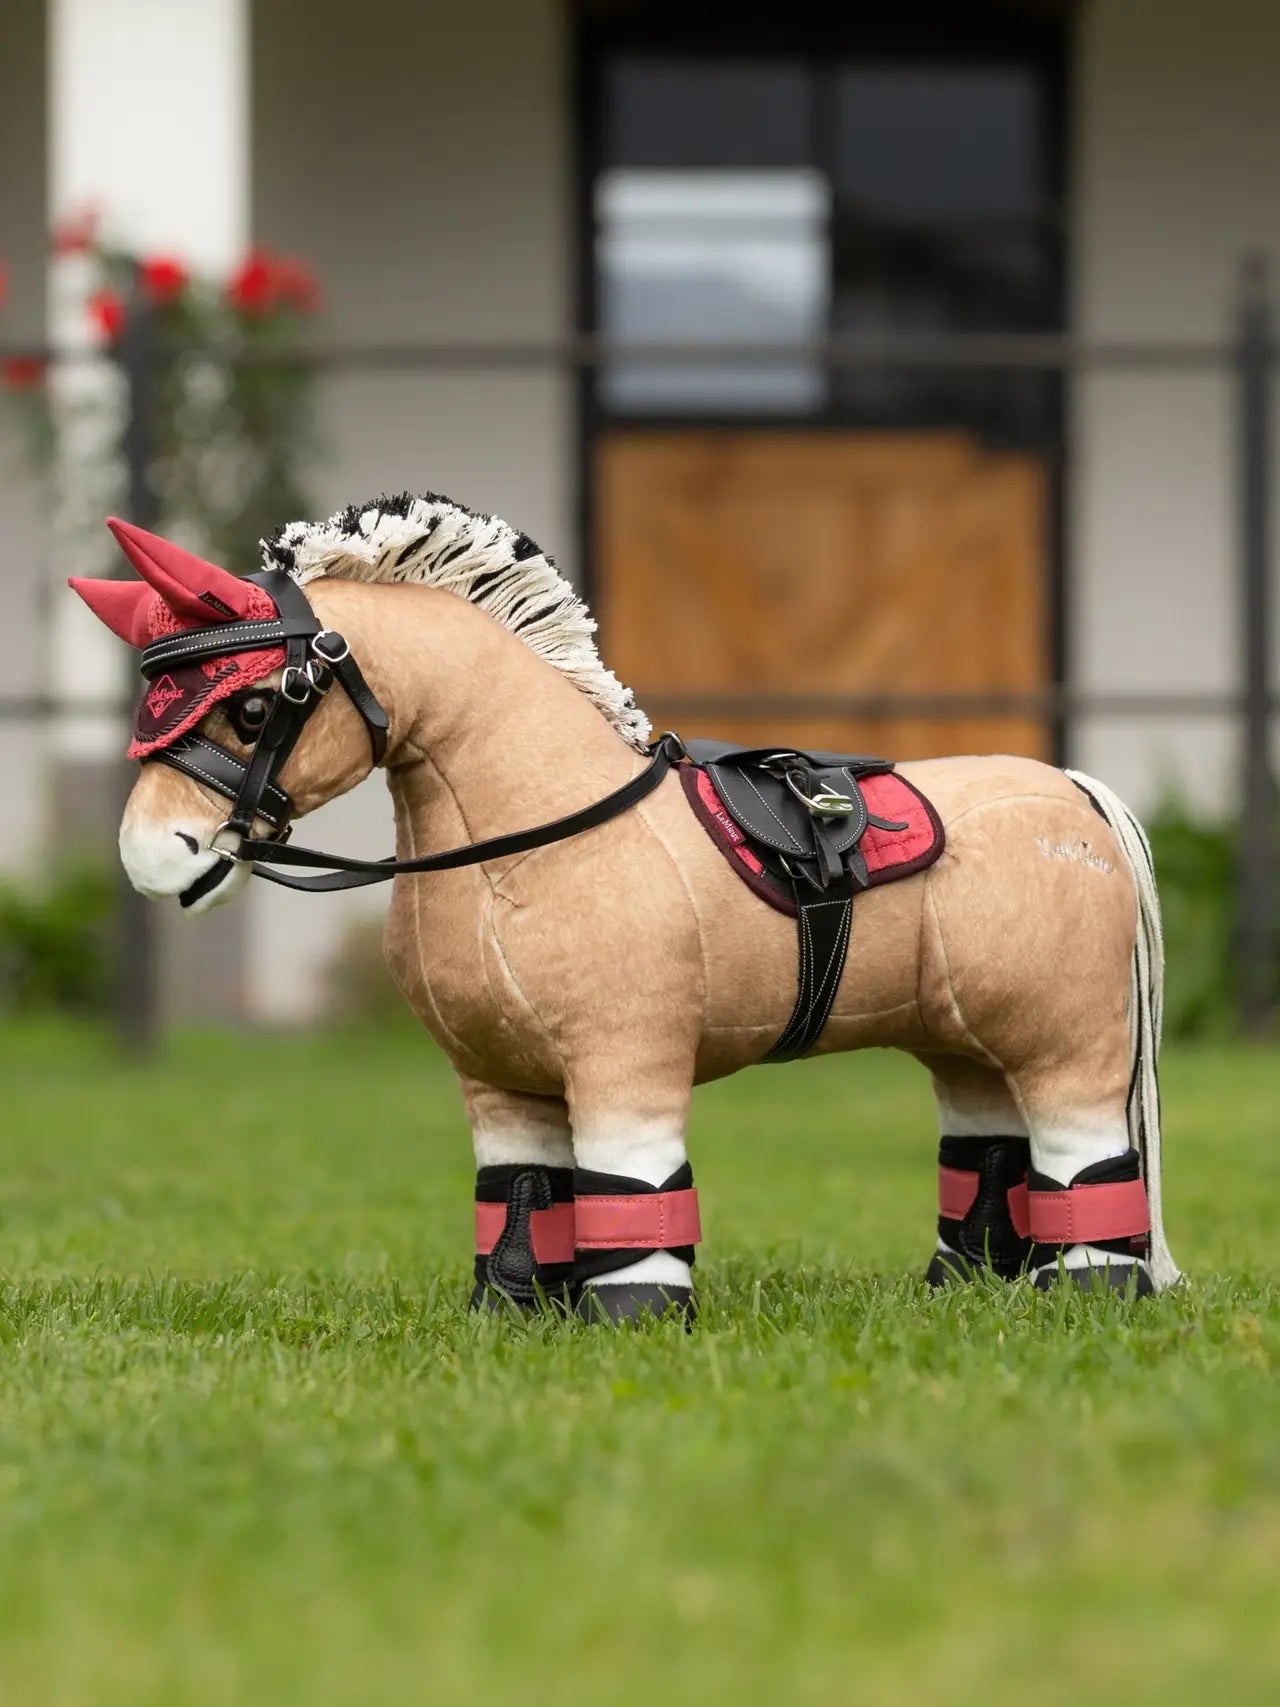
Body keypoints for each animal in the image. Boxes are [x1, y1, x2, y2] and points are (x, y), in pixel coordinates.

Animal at [70, 491, 1177, 1323]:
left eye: (254, 704)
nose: (151, 856)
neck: (529, 841)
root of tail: (1075, 791)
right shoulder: (497, 1081)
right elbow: (518, 1195)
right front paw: (511, 1314)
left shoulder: (625, 1059)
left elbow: (630, 1190)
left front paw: (632, 1321)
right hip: (965, 1039)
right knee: (985, 1148)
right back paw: (961, 1291)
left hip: (1069, 1040)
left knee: (1083, 1155)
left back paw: (1089, 1296)